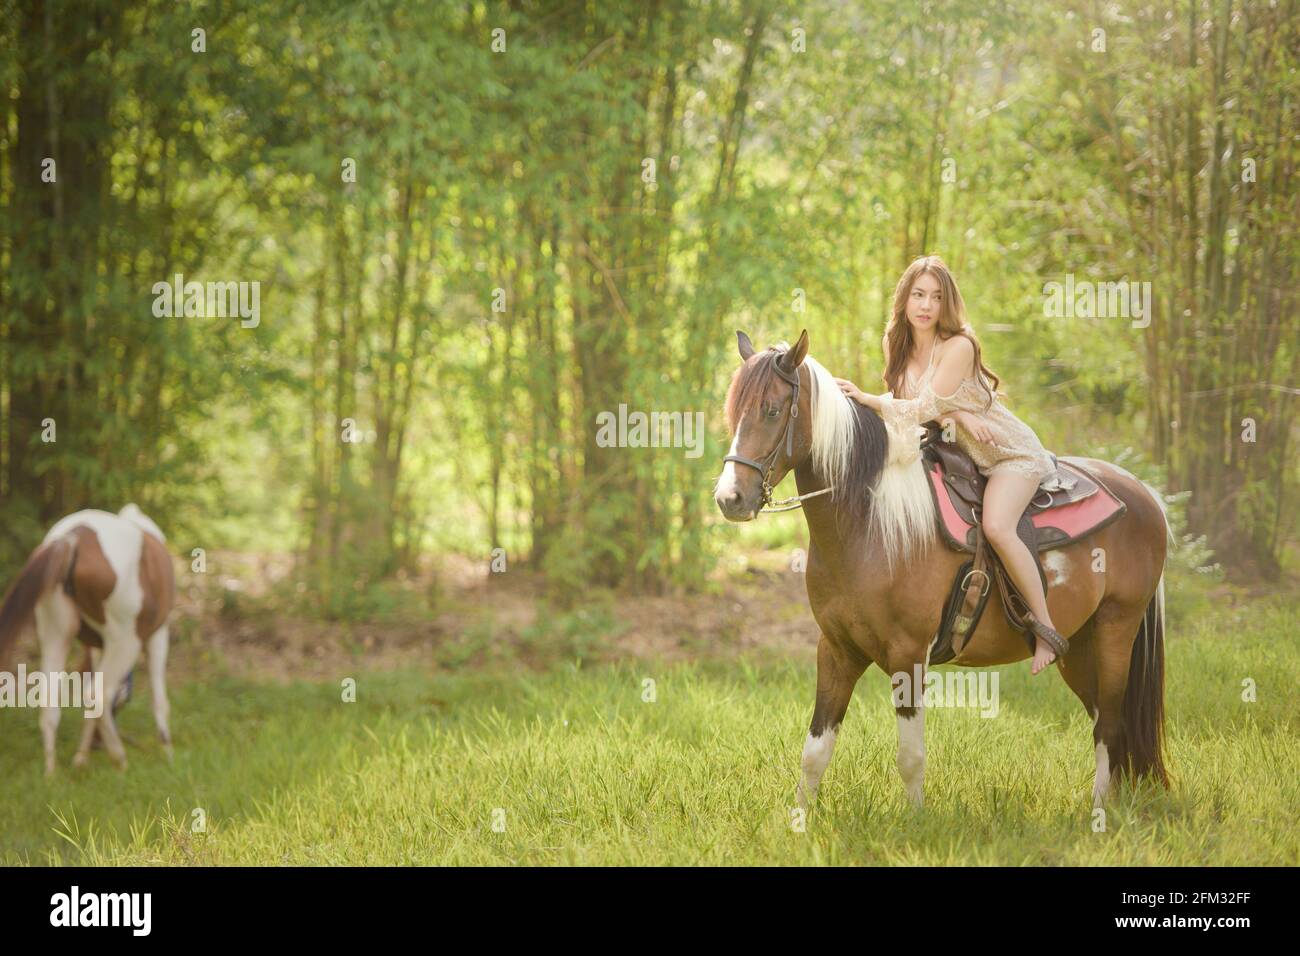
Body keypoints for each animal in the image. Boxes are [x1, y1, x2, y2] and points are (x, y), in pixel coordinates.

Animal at [0, 504, 175, 775]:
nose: (96, 746)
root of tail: (72, 539)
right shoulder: (158, 635)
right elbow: (158, 700)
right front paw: (169, 757)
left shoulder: (97, 647)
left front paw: (80, 758)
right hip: (126, 641)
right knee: (98, 696)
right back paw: (119, 759)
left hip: (55, 631)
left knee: (50, 702)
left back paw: (51, 774)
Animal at [717, 332, 1175, 811]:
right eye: (733, 411)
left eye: (772, 409)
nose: (729, 498)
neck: (869, 520)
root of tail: (1144, 494)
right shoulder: (837, 650)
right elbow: (815, 752)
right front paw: (799, 819)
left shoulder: (908, 655)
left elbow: (910, 757)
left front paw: (916, 820)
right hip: (1080, 647)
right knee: (1105, 720)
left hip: (1115, 630)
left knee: (1109, 724)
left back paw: (1099, 811)